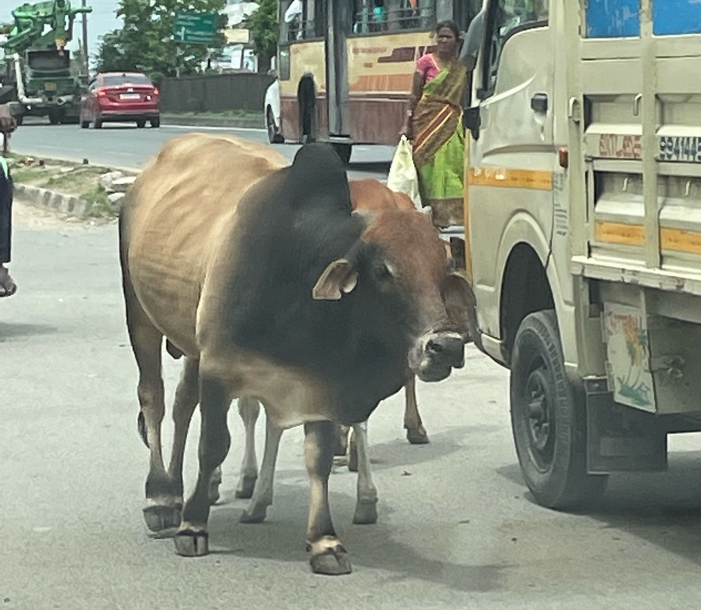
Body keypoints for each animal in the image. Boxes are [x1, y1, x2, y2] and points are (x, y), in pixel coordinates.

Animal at [121, 131, 476, 572]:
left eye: (444, 268)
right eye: (383, 270)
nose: (445, 347)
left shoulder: (319, 378)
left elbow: (317, 455)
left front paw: (324, 540)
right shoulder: (218, 368)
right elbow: (214, 443)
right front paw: (193, 526)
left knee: (185, 402)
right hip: (140, 314)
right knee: (153, 398)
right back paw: (161, 496)